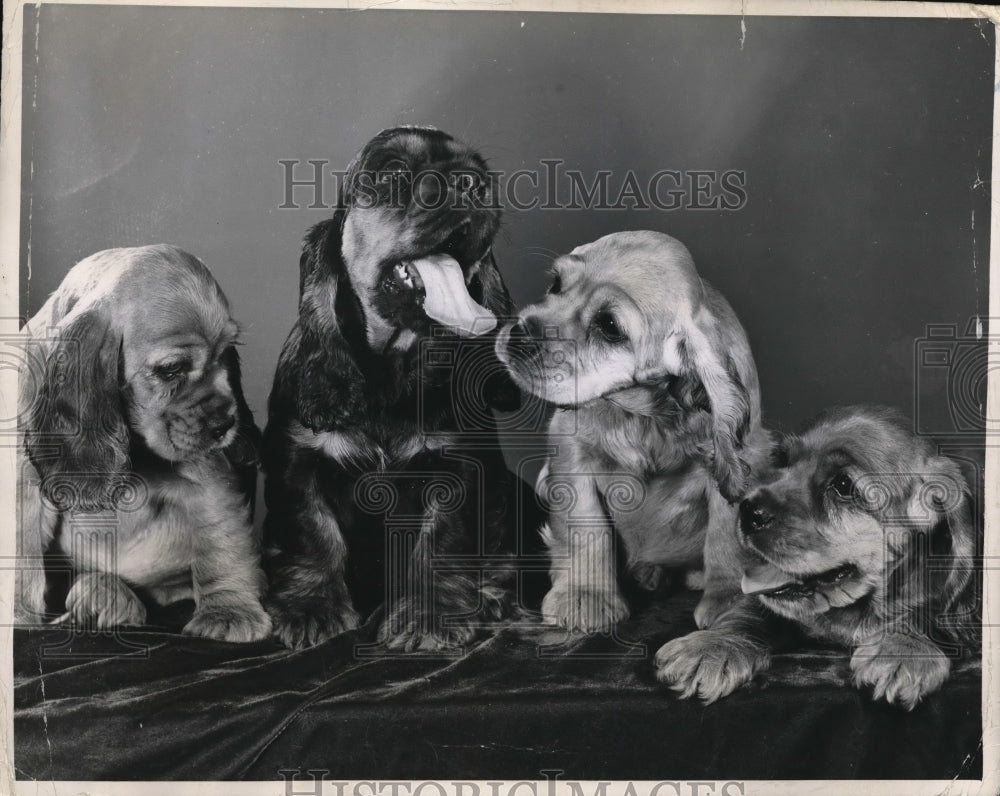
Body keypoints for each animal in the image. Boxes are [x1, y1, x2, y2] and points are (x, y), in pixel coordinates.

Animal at [16, 243, 274, 640]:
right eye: (172, 369)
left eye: (226, 355)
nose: (225, 424)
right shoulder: (24, 483)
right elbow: (21, 549)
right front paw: (19, 619)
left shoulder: (209, 478)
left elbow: (222, 541)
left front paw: (230, 610)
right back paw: (106, 595)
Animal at [262, 124, 520, 648]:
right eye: (393, 173)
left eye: (480, 172)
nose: (471, 184)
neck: (393, 369)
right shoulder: (297, 462)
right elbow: (312, 533)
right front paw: (310, 610)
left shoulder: (458, 468)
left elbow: (440, 542)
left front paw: (427, 618)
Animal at [496, 230, 768, 636]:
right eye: (556, 284)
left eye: (610, 326)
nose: (518, 335)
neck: (644, 414)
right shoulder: (570, 450)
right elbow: (586, 522)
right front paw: (586, 593)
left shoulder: (741, 456)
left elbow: (725, 532)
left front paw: (730, 598)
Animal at [656, 408, 976, 712]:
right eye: (782, 462)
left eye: (843, 484)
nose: (748, 512)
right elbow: (748, 613)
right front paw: (713, 647)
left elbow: (930, 609)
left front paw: (902, 648)